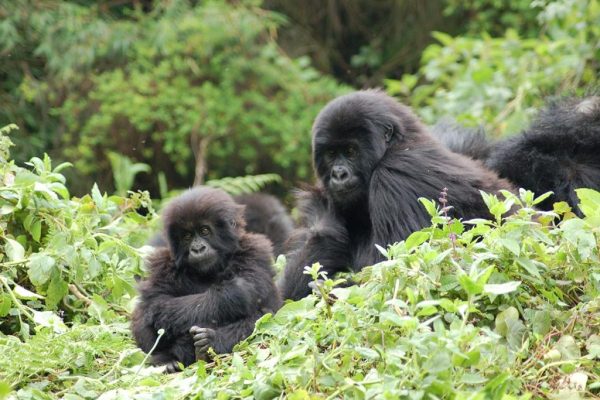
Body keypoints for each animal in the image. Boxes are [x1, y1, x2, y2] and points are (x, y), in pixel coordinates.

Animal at [131, 188, 282, 372]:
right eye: (187, 236)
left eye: (204, 231)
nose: (198, 248)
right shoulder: (162, 263)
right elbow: (157, 303)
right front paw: (232, 295)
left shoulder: (255, 251)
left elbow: (267, 309)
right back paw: (169, 360)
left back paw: (209, 344)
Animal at [282, 88, 516, 300]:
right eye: (331, 154)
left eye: (350, 152)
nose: (338, 174)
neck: (399, 144)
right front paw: (323, 224)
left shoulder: (394, 176)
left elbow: (390, 273)